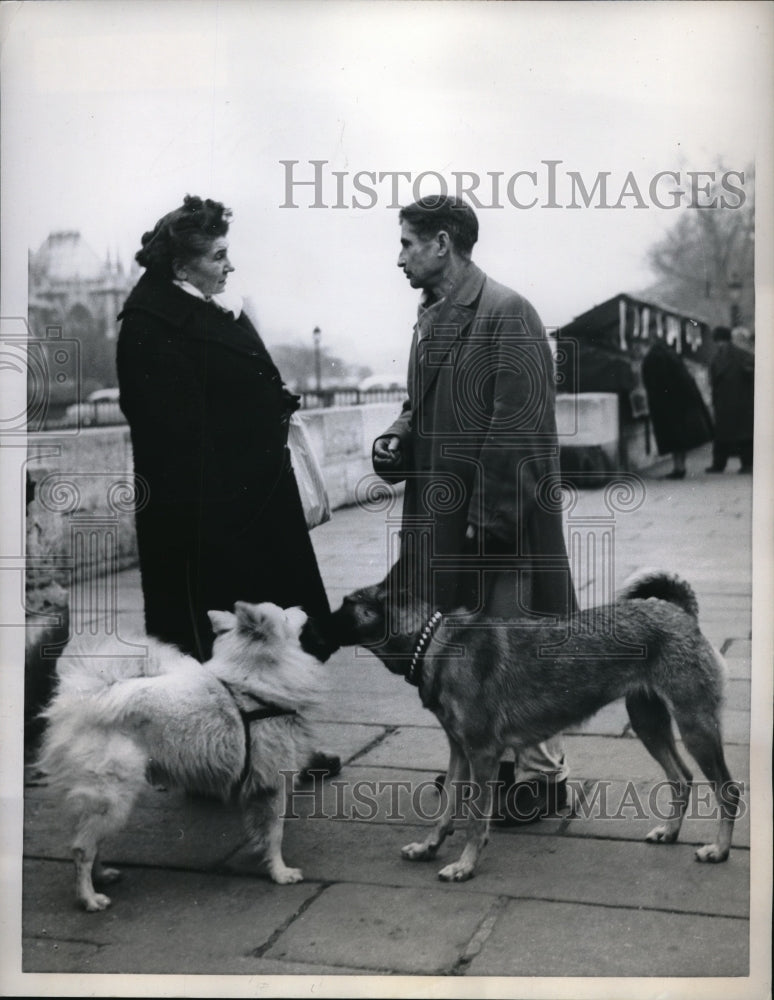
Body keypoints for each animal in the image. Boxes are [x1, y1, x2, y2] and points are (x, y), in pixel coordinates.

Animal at [38, 600, 322, 916]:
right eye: (284, 614)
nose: (302, 607)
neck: (254, 685)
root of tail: (81, 698)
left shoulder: (258, 786)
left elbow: (261, 828)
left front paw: (261, 855)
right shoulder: (275, 782)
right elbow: (276, 833)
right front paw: (281, 873)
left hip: (100, 801)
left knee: (88, 839)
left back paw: (102, 877)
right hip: (112, 797)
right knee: (82, 849)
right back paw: (90, 898)